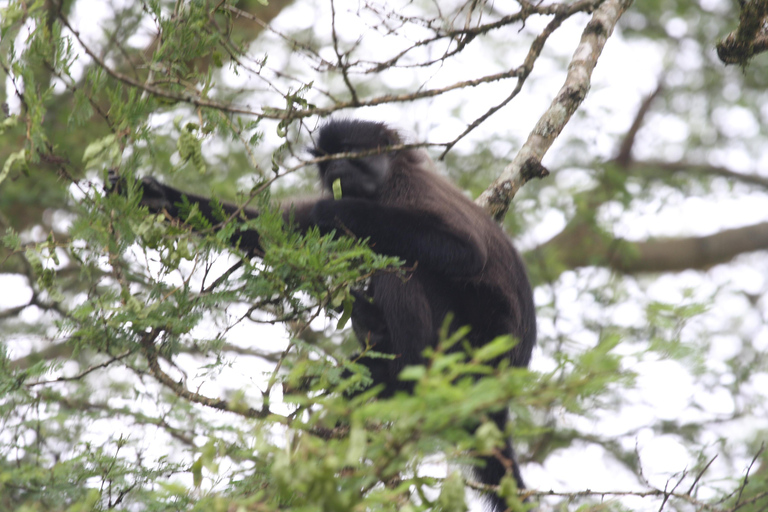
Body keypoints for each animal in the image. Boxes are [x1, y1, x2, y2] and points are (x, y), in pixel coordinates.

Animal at [112, 119, 536, 508]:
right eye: (326, 161)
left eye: (348, 153)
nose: (335, 171)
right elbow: (274, 232)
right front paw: (154, 196)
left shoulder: (408, 190)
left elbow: (466, 252)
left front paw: (339, 208)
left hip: (475, 337)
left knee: (403, 265)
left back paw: (402, 372)